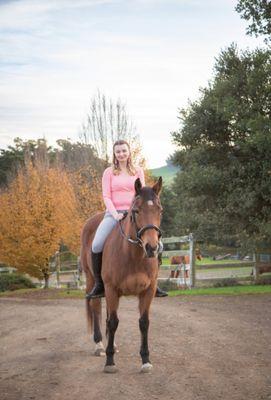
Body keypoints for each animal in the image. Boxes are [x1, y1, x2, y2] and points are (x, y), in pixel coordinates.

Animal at [81, 177, 164, 374]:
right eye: (136, 210)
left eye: (160, 210)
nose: (152, 248)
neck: (133, 254)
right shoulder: (111, 289)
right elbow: (113, 322)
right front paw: (110, 361)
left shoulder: (148, 291)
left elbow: (144, 323)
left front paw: (145, 360)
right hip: (92, 280)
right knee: (96, 307)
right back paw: (99, 346)